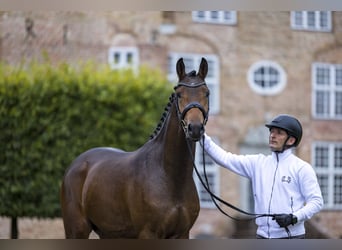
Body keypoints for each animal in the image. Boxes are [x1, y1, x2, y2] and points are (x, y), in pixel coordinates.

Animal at [60, 57, 210, 239]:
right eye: (179, 94)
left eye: (207, 93)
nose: (194, 128)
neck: (171, 177)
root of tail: (75, 164)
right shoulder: (148, 233)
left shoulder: (182, 234)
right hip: (76, 230)